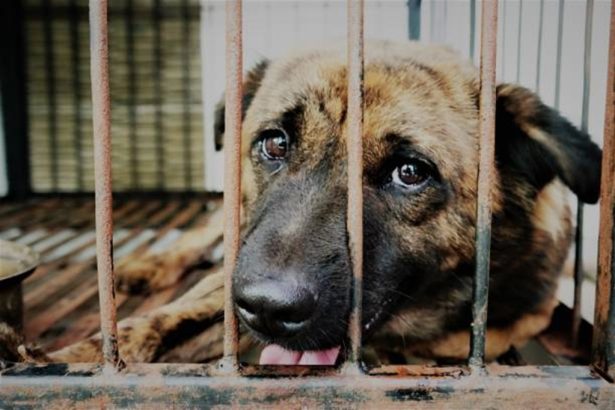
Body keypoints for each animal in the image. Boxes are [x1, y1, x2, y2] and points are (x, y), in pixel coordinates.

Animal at [12, 42, 604, 366]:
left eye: (411, 173)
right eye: (275, 143)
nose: (269, 310)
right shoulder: (231, 277)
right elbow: (163, 321)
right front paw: (73, 360)